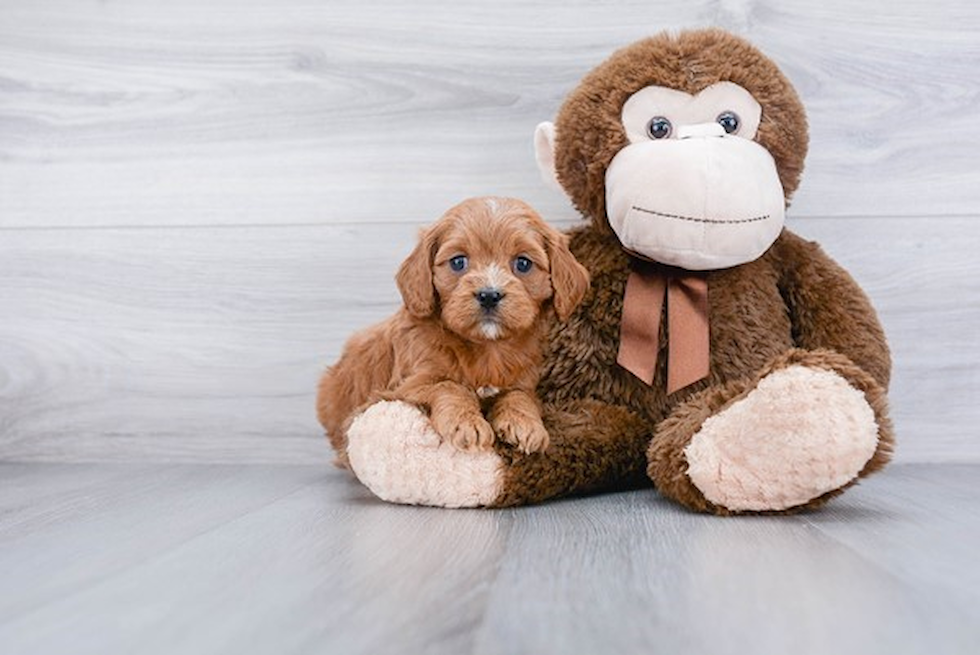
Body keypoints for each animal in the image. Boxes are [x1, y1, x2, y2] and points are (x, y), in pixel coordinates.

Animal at [318, 196, 588, 466]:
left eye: (523, 263)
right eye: (458, 262)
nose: (489, 295)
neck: (487, 348)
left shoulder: (523, 382)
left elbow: (520, 397)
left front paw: (525, 425)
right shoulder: (406, 387)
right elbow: (448, 386)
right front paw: (467, 424)